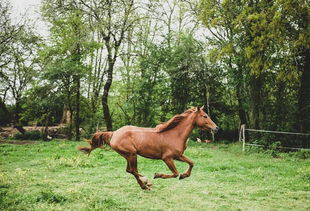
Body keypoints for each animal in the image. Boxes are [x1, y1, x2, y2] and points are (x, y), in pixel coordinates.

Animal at [77, 106, 218, 190]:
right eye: (205, 116)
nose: (216, 128)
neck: (175, 134)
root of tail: (114, 133)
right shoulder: (167, 158)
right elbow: (174, 173)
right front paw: (157, 175)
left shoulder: (178, 156)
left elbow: (191, 163)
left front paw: (184, 175)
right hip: (132, 154)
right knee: (133, 170)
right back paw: (146, 182)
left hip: (128, 155)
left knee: (130, 170)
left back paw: (145, 184)